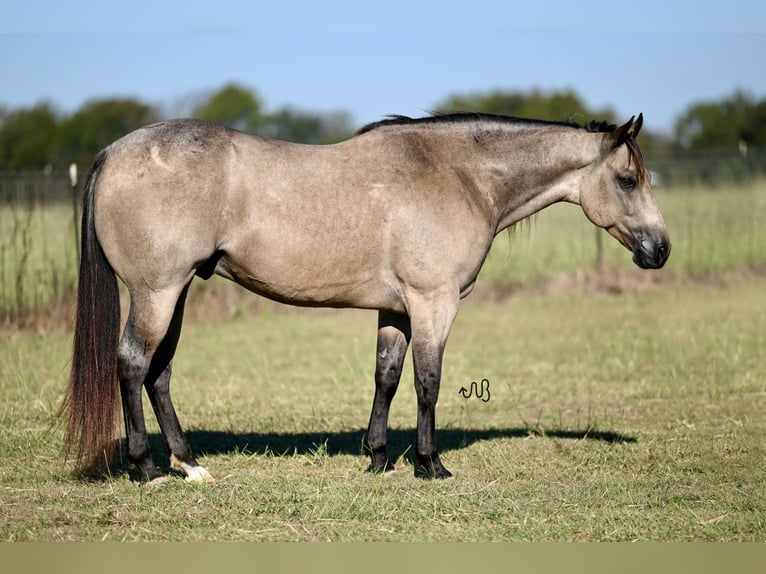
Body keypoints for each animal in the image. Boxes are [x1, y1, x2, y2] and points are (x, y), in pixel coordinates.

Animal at [61, 111, 672, 482]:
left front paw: (378, 458)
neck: (458, 175)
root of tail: (113, 151)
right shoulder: (433, 303)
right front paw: (430, 465)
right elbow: (428, 382)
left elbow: (387, 376)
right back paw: (147, 469)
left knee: (159, 373)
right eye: (627, 180)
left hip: (179, 291)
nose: (660, 249)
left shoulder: (396, 309)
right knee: (133, 364)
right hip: (157, 293)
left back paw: (190, 466)